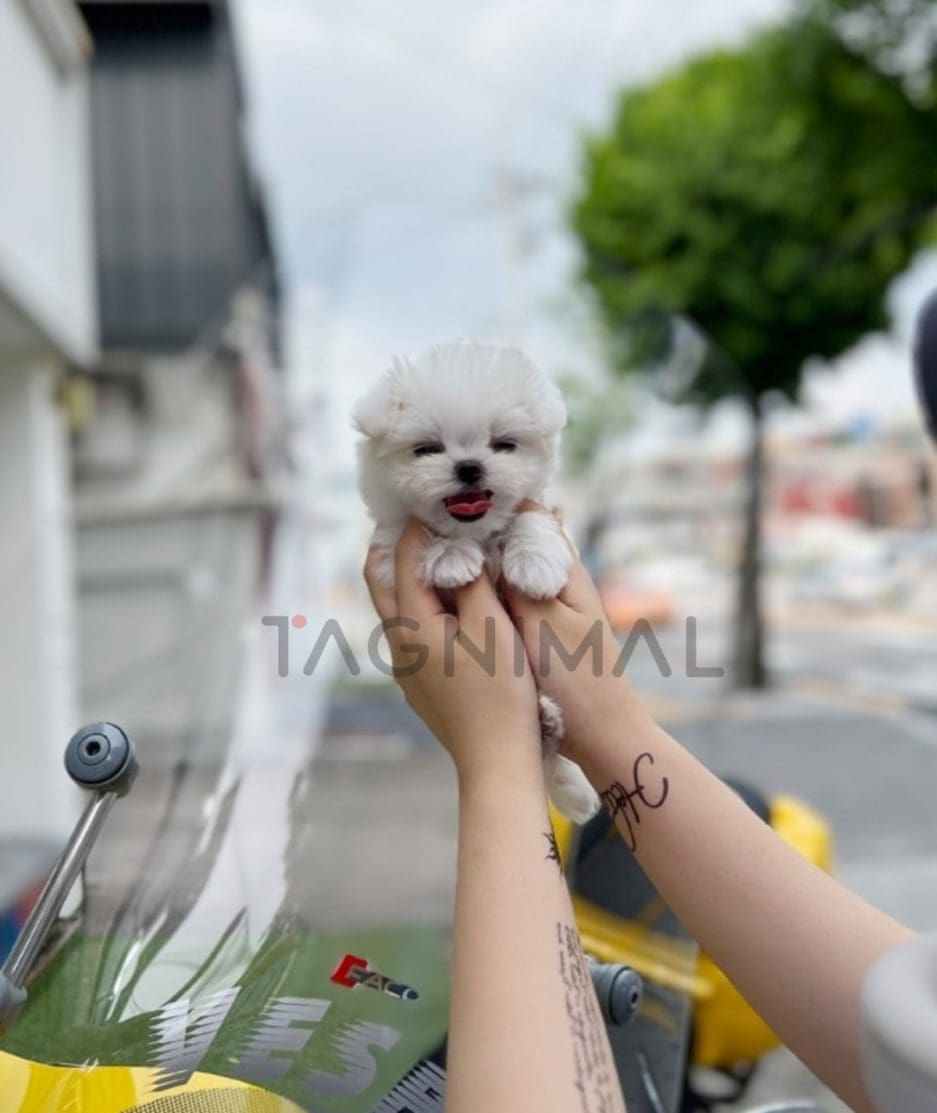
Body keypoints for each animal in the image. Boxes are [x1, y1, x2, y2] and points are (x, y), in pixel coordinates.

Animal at [351, 333, 600, 823]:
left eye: (503, 445)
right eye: (427, 449)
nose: (468, 466)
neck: (477, 531)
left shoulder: (545, 512)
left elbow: (530, 519)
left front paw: (534, 563)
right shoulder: (390, 547)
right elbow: (427, 540)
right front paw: (451, 557)